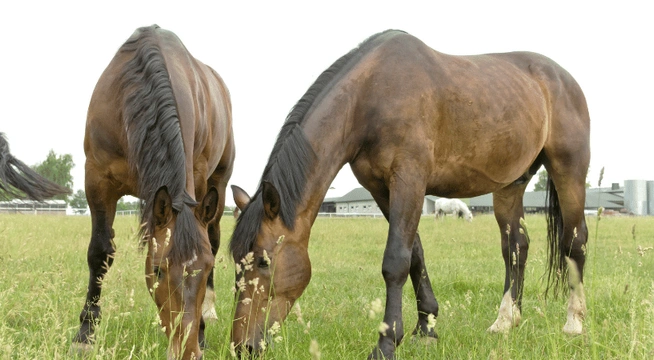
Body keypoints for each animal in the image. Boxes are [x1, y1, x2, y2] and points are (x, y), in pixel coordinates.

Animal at [73, 26, 236, 360]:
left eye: (205, 270)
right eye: (158, 270)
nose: (188, 351)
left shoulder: (197, 180)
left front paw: (202, 331)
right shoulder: (96, 179)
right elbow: (99, 252)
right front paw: (85, 332)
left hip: (219, 184)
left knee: (214, 237)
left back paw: (210, 311)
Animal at [232, 29, 596, 358]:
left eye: (264, 261)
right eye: (235, 261)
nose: (242, 346)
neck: (370, 97)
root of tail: (563, 79)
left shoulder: (409, 179)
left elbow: (396, 261)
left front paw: (387, 341)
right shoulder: (381, 189)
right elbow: (416, 253)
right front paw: (427, 328)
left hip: (569, 169)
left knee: (574, 240)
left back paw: (574, 324)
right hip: (510, 185)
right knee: (516, 247)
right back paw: (505, 322)